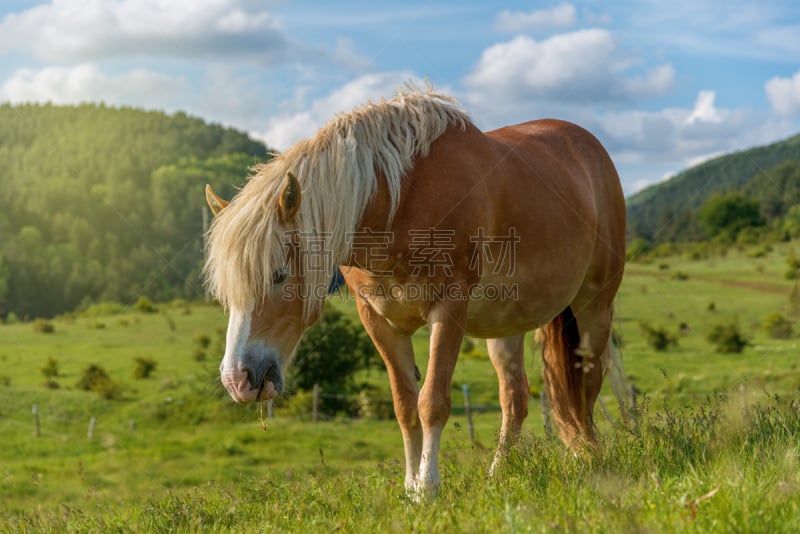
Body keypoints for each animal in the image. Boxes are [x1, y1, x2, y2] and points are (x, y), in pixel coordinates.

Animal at [203, 86, 628, 496]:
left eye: (278, 275)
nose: (238, 380)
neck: (399, 204)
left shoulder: (449, 309)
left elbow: (432, 402)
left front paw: (428, 487)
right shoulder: (380, 322)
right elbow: (404, 405)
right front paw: (410, 488)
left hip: (594, 308)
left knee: (589, 384)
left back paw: (594, 458)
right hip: (505, 326)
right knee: (516, 397)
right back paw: (499, 473)